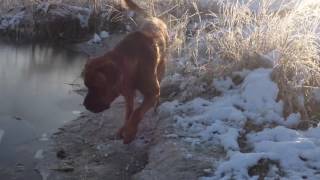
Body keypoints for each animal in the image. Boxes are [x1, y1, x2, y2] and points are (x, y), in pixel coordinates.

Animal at [82, 0, 169, 143]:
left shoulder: (152, 92)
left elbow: (137, 113)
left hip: (161, 67)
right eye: (87, 86)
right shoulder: (127, 93)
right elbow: (129, 112)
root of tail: (152, 17)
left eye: (96, 86)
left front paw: (129, 132)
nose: (85, 105)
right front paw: (124, 129)